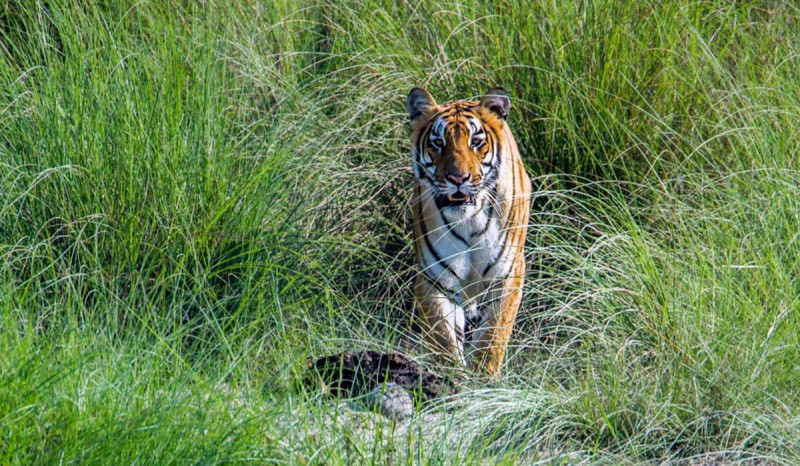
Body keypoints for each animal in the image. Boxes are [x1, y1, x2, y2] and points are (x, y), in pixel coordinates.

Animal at [406, 87, 532, 376]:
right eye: (438, 143)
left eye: (476, 142)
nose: (457, 179)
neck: (468, 220)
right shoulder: (435, 279)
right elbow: (442, 338)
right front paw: (451, 377)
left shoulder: (507, 274)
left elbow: (492, 337)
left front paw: (484, 379)